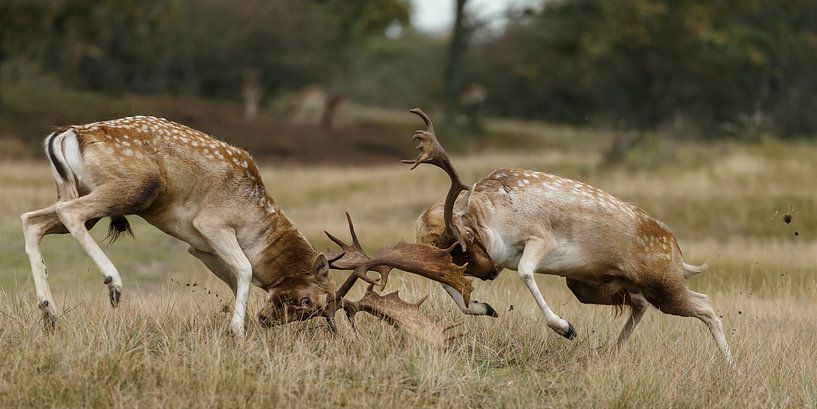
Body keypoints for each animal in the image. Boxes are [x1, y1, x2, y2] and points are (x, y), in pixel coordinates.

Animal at [21, 115, 334, 334]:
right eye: (307, 301)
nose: (267, 320)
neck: (257, 231)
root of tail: (66, 134)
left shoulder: (201, 248)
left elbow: (234, 279)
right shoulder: (211, 223)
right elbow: (245, 268)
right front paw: (237, 330)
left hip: (82, 192)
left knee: (32, 219)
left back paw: (49, 312)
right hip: (134, 187)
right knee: (68, 212)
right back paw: (114, 285)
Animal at [406, 109, 732, 364]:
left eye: (461, 245)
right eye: (450, 252)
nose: (490, 273)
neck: (490, 216)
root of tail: (677, 248)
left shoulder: (541, 238)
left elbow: (525, 271)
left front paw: (567, 328)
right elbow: (452, 286)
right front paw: (487, 308)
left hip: (663, 283)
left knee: (705, 304)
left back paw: (732, 367)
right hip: (592, 285)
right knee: (641, 304)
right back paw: (611, 354)